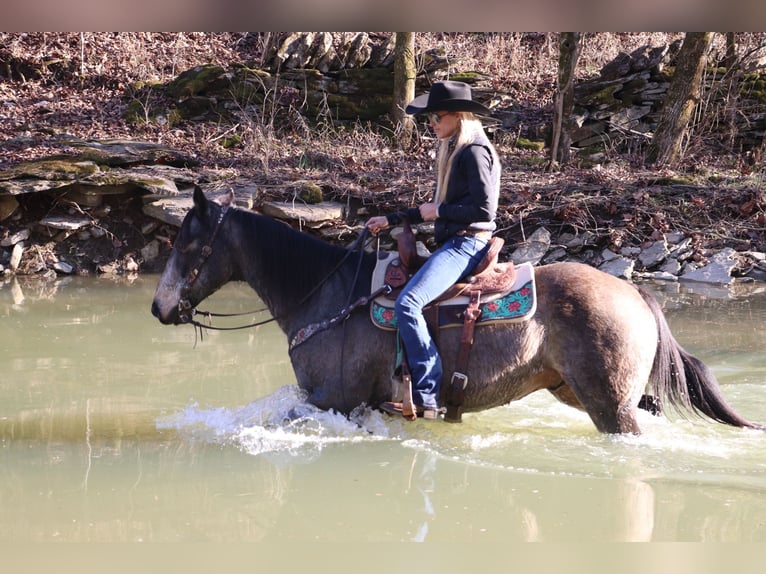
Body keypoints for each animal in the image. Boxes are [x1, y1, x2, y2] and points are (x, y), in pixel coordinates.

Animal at [150, 189, 760, 436]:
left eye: (188, 242)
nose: (159, 307)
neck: (327, 296)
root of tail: (635, 294)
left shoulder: (333, 401)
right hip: (586, 391)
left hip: (609, 403)